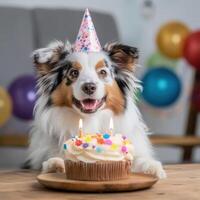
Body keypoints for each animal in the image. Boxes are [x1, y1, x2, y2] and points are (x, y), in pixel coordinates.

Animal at [25, 39, 166, 179]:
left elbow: (138, 159)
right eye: (74, 72)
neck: (90, 120)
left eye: (103, 72)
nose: (89, 87)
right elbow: (51, 160)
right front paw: (55, 164)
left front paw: (153, 168)